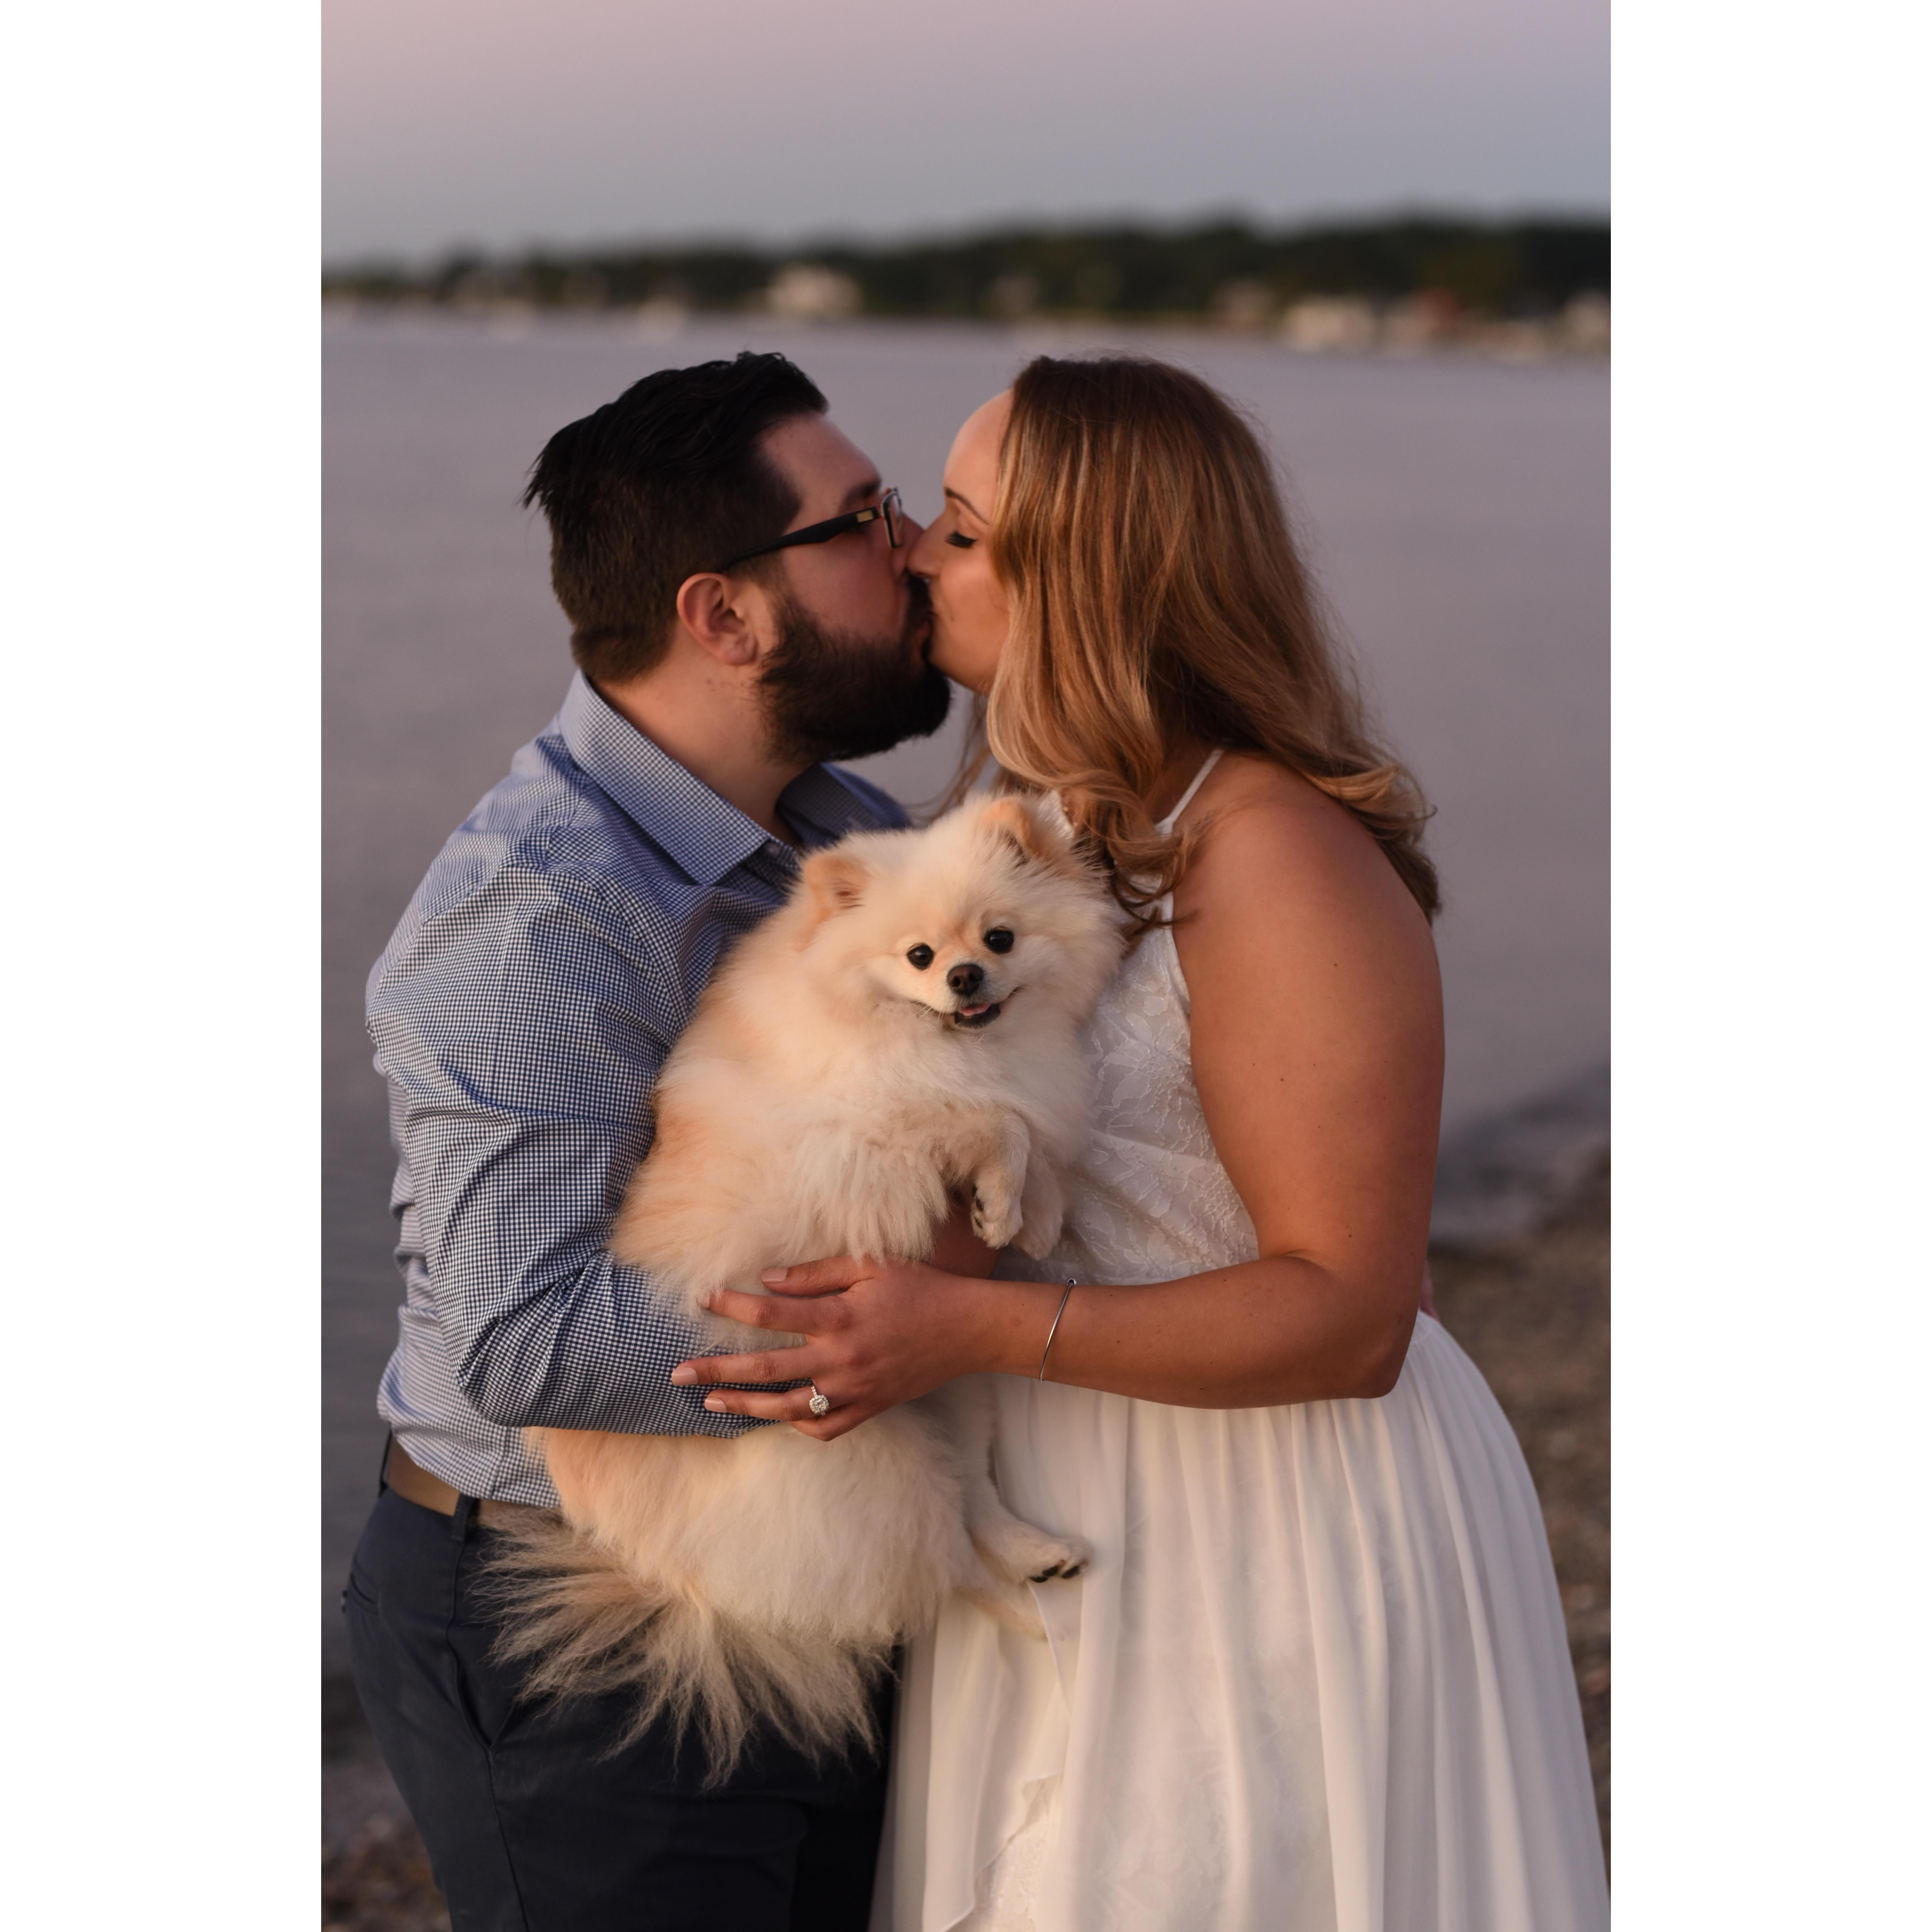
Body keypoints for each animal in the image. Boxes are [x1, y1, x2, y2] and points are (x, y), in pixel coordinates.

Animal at [489, 792, 1121, 1776]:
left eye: (1002, 938)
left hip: (948, 1387)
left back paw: (1035, 1553)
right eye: (918, 957)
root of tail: (665, 1569)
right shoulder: (869, 1139)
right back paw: (1035, 1618)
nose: (967, 977)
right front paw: (1002, 1199)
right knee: (943, 1570)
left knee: (972, 1499)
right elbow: (996, 1123)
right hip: (864, 1463)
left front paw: (1032, 1216)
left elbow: (1034, 1132)